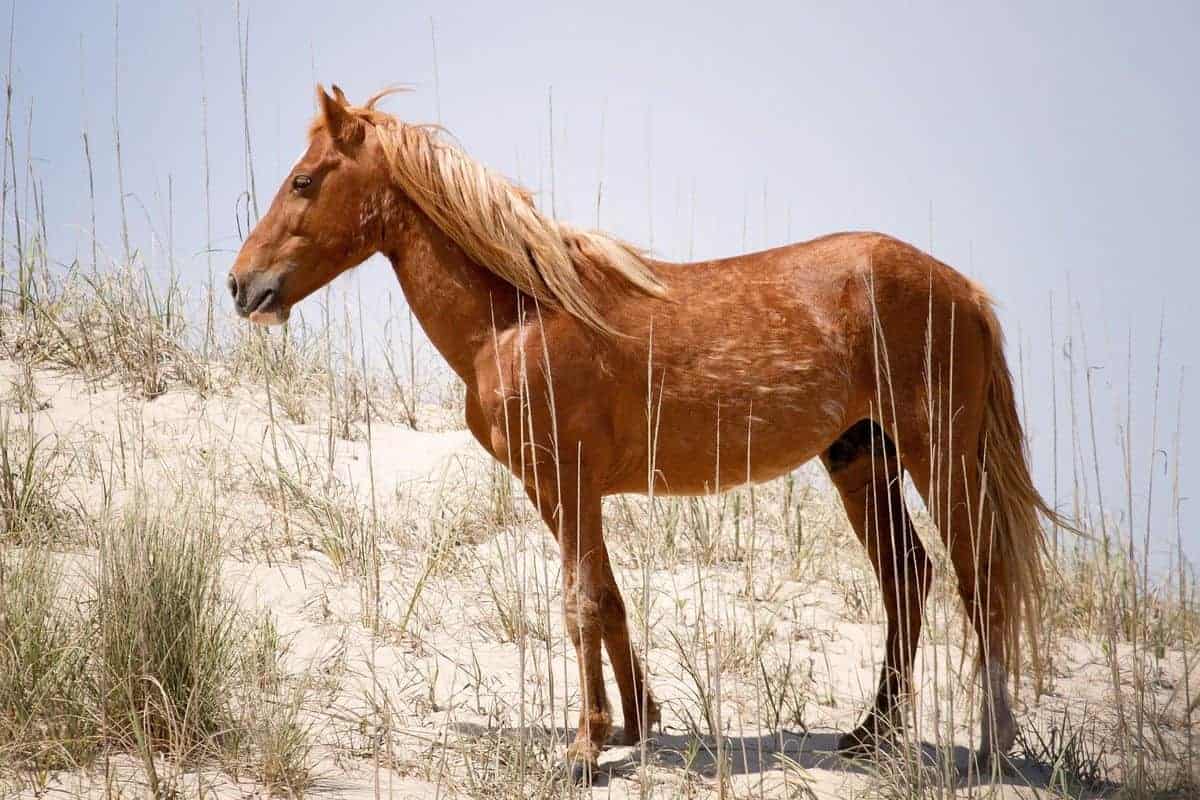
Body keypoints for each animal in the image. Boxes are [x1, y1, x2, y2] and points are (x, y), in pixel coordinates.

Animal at [229, 87, 1065, 782]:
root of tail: (964, 289)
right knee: (907, 576)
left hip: (938, 457)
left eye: (304, 181)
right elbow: (607, 598)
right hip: (862, 460)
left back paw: (991, 747)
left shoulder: (568, 483)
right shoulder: (563, 491)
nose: (243, 285)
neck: (520, 316)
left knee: (980, 579)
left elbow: (579, 605)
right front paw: (634, 724)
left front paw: (585, 747)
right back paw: (871, 732)